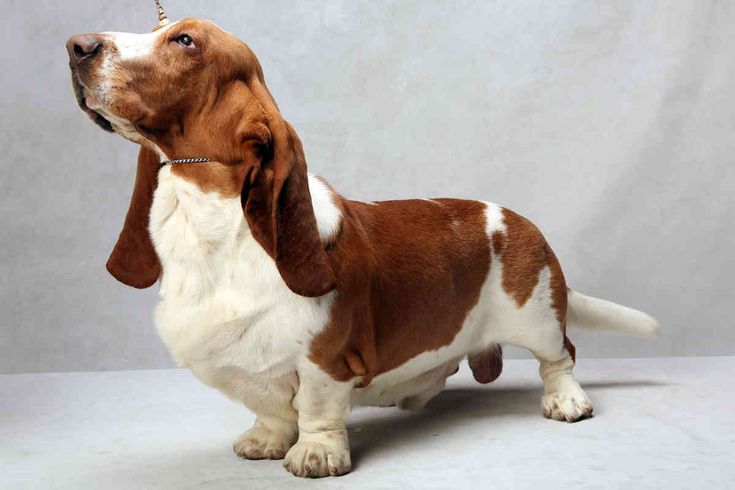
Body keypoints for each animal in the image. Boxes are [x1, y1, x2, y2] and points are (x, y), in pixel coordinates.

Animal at [66, 19, 660, 478]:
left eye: (185, 40)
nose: (76, 45)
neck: (214, 227)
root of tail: (518, 221)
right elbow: (272, 408)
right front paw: (266, 440)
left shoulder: (326, 360)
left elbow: (317, 410)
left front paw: (316, 455)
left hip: (536, 314)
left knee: (561, 356)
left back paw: (566, 401)